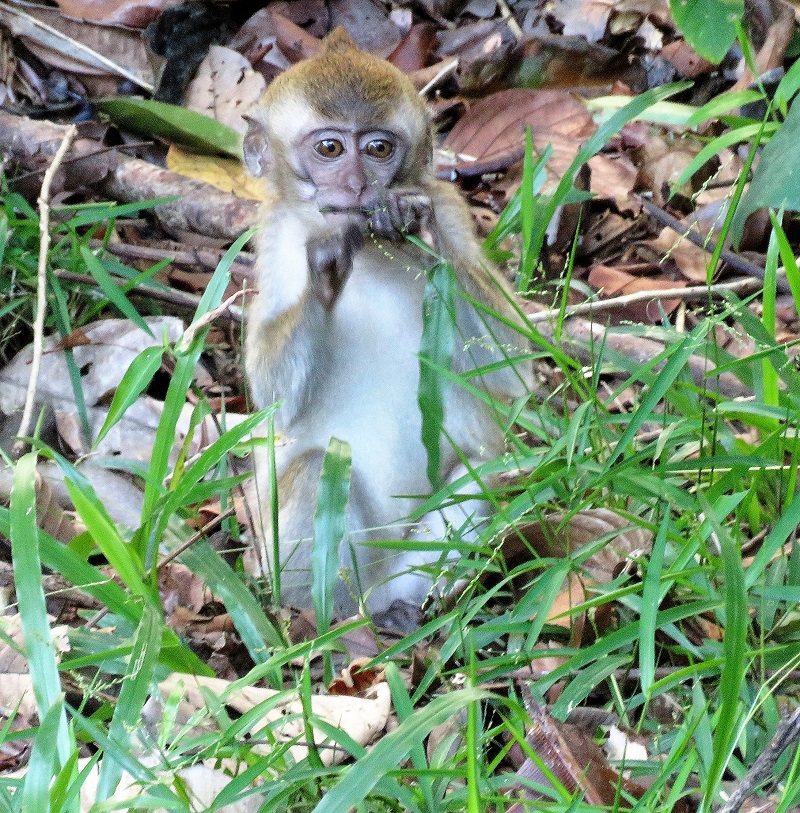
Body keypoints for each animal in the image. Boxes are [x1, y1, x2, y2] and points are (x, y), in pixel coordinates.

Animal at [244, 27, 532, 628]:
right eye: (330, 149)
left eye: (379, 149)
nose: (357, 186)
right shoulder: (276, 238)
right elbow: (274, 402)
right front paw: (327, 258)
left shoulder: (449, 205)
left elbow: (512, 367)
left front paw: (415, 229)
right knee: (318, 468)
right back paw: (322, 619)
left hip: (411, 561)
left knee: (484, 469)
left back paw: (417, 610)